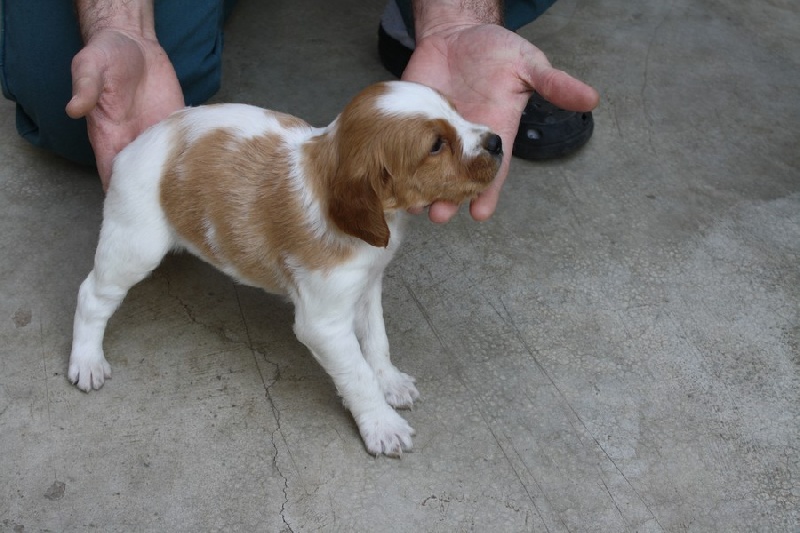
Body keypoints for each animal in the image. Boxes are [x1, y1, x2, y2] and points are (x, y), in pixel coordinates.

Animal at [72, 81, 504, 456]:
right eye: (436, 145)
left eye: (455, 109)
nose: (498, 142)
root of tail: (135, 146)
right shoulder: (323, 322)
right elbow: (357, 375)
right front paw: (382, 425)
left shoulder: (366, 288)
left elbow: (376, 342)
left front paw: (390, 382)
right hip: (134, 244)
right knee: (91, 294)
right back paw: (87, 361)